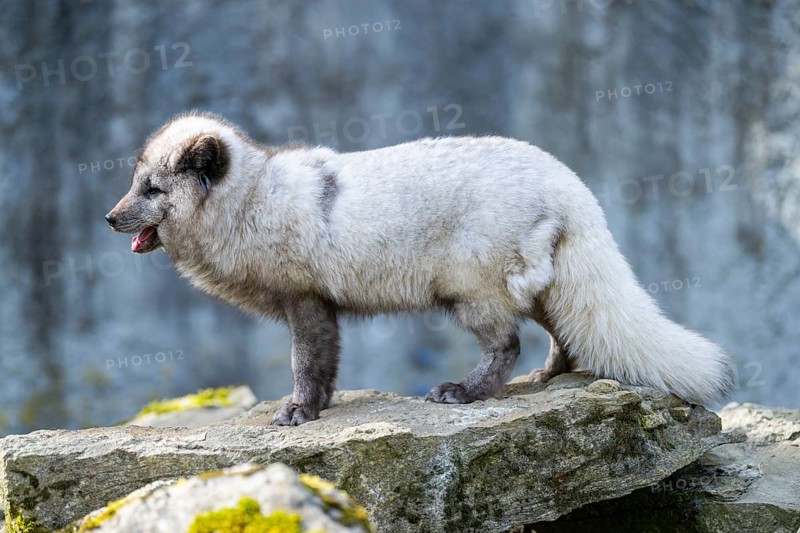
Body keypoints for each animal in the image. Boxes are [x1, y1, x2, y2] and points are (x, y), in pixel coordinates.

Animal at [106, 111, 737, 426]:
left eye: (153, 189)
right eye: (135, 183)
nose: (109, 218)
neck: (253, 199)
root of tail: (572, 185)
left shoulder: (304, 300)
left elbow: (305, 363)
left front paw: (299, 411)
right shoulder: (322, 306)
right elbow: (327, 365)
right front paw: (319, 407)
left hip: (471, 291)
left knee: (508, 345)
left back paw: (465, 392)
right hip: (535, 288)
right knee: (565, 334)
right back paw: (548, 378)